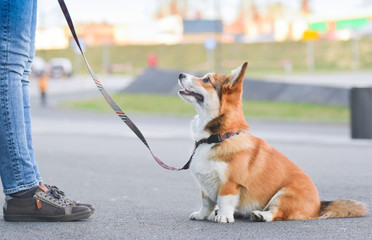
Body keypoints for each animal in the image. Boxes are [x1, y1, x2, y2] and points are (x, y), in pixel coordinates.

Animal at [177, 62, 366, 223]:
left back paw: (261, 215)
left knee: (277, 213)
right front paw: (201, 215)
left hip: (284, 194)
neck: (217, 137)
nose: (180, 74)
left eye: (206, 79)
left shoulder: (230, 184)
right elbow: (206, 203)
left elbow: (224, 201)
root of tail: (318, 206)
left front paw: (224, 216)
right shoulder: (205, 187)